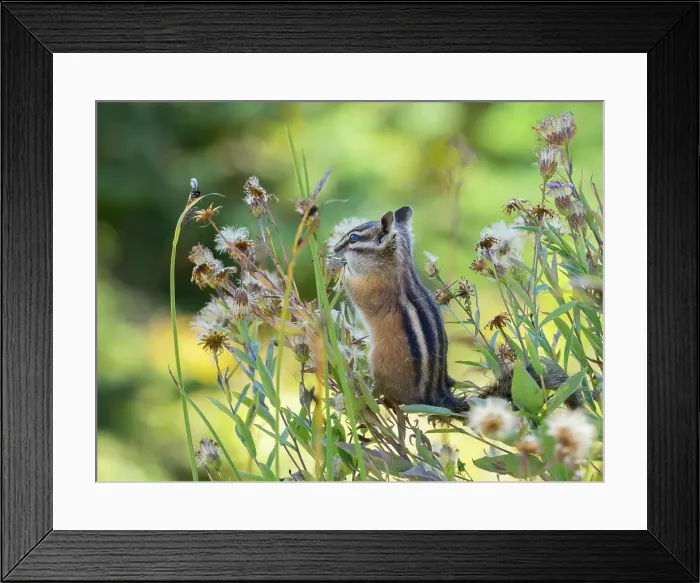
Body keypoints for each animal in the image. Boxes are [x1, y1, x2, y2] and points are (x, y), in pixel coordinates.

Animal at [333, 206, 469, 412]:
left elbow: (356, 290)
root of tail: (436, 394)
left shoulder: (371, 288)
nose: (334, 249)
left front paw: (343, 267)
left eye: (353, 238)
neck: (400, 266)